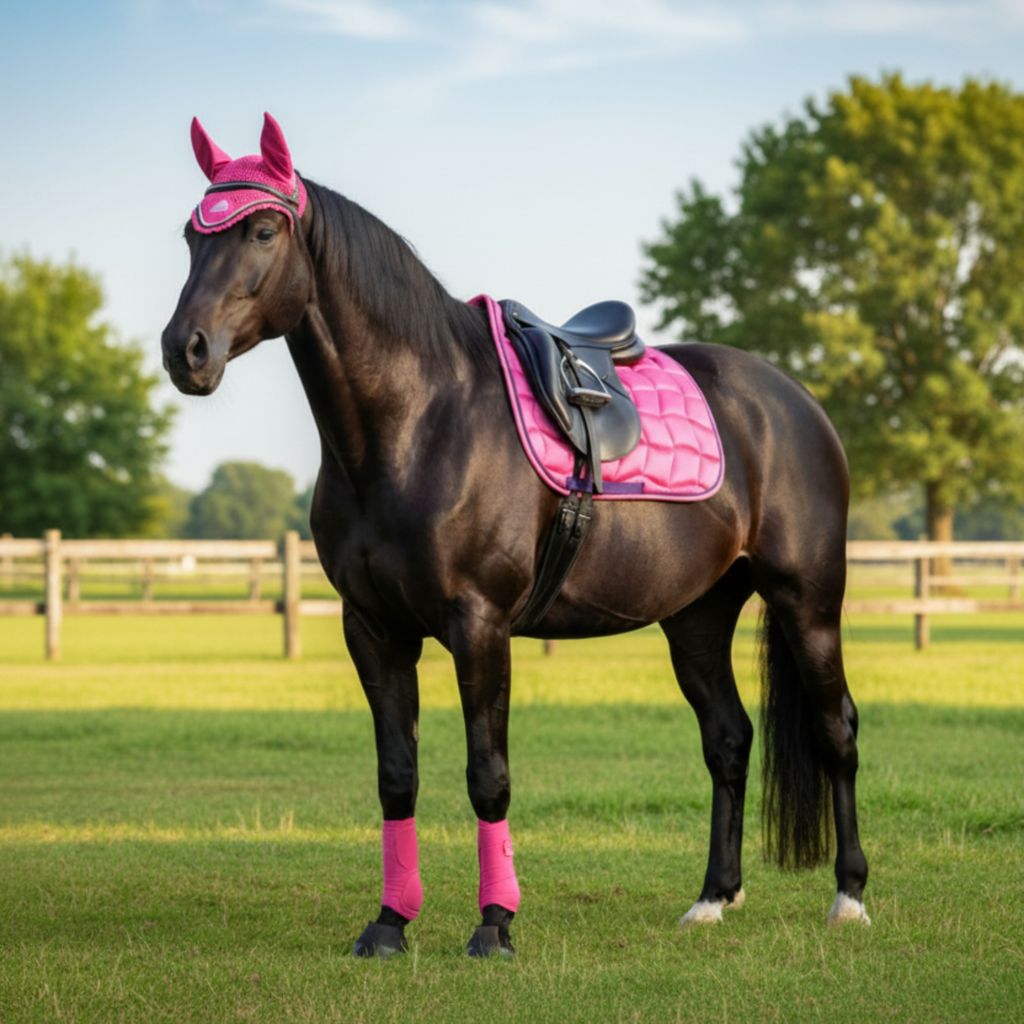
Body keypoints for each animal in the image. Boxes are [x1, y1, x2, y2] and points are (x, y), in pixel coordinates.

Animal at [161, 114, 870, 958]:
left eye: (264, 229)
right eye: (191, 237)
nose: (185, 350)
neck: (418, 420)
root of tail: (794, 399)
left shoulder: (480, 625)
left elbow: (487, 775)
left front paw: (495, 924)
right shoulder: (373, 630)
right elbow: (396, 776)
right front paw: (390, 922)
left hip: (807, 599)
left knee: (836, 729)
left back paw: (850, 896)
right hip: (696, 616)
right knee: (728, 740)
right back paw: (712, 898)